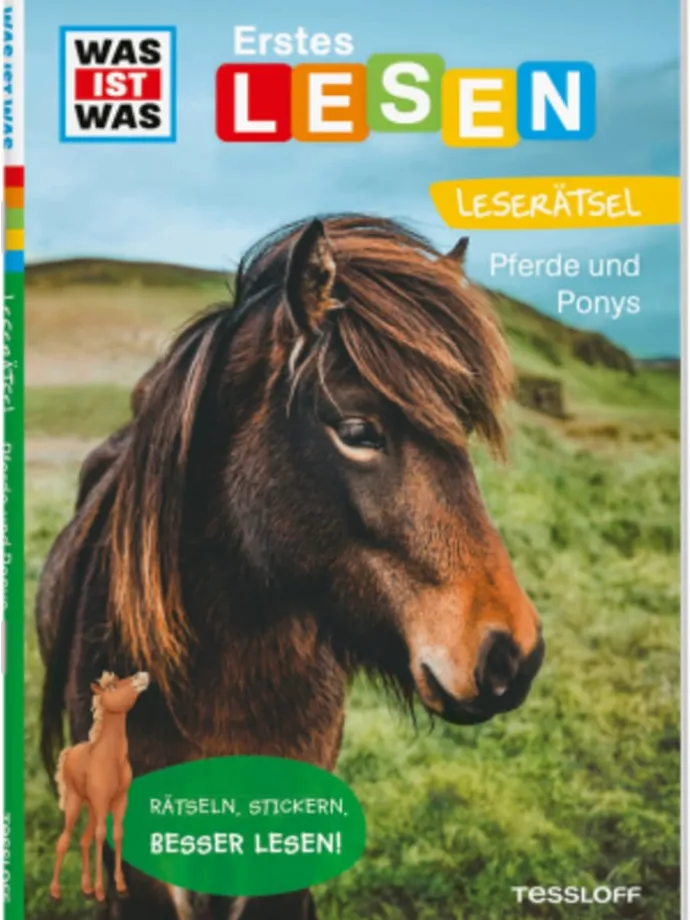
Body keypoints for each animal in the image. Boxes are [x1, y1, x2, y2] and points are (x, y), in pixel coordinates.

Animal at [50, 671, 150, 903]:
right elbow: (101, 836)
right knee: (64, 840)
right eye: (112, 687)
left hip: (92, 808)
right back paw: (56, 891)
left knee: (84, 840)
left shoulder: (120, 801)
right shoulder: (102, 802)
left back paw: (86, 889)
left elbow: (117, 834)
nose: (142, 675)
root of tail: (69, 752)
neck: (111, 758)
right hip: (75, 803)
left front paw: (120, 887)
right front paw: (101, 890)